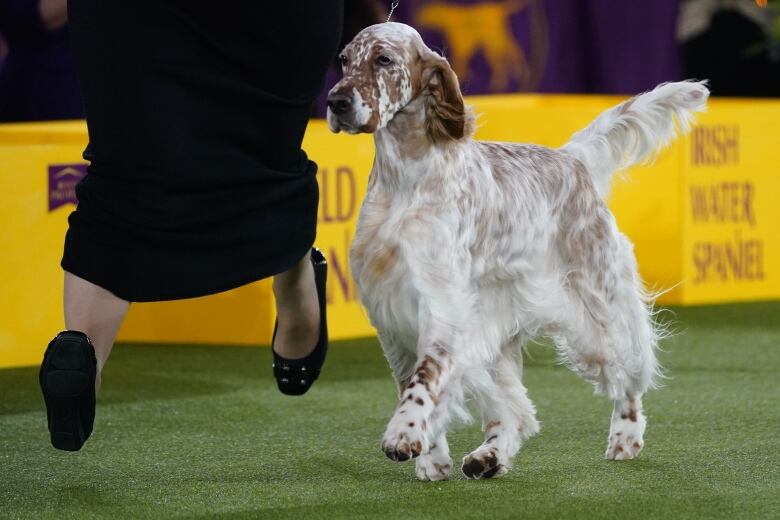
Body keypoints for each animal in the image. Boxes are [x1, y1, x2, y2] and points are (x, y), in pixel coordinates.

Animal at [326, 22, 708, 482]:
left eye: (383, 59)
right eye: (344, 60)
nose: (335, 102)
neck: (406, 180)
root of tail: (572, 160)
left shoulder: (442, 304)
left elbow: (423, 381)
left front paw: (403, 435)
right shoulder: (393, 312)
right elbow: (415, 384)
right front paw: (431, 457)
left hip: (598, 306)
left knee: (629, 376)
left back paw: (625, 438)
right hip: (500, 327)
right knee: (513, 410)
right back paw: (488, 455)